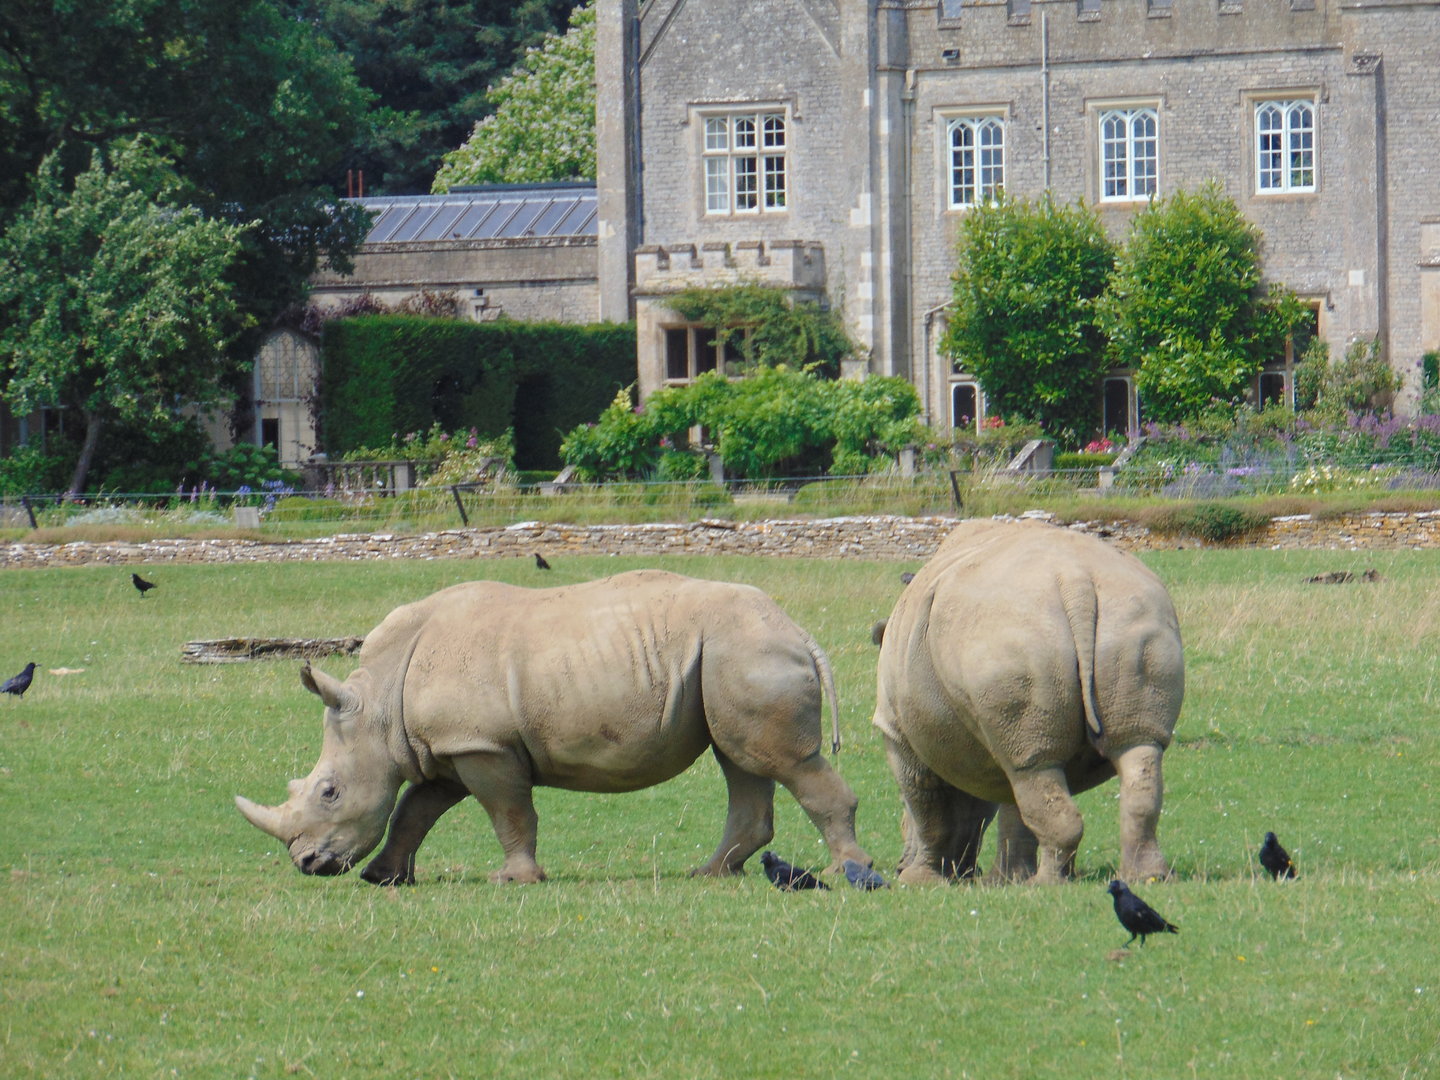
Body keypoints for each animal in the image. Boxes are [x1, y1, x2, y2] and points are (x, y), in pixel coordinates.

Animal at [236, 570, 870, 885]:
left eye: (329, 792)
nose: (306, 864)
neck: (379, 706)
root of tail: (796, 628)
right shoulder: (446, 748)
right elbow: (413, 810)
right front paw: (382, 877)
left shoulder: (482, 747)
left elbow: (508, 813)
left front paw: (514, 880)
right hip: (731, 653)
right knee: (740, 759)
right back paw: (710, 873)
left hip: (747, 651)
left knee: (778, 761)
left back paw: (844, 871)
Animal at [873, 519, 1184, 885]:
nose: (897, 866)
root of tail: (1076, 581)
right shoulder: (990, 742)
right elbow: (1010, 810)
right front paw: (1005, 880)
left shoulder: (894, 728)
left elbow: (925, 802)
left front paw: (919, 880)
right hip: (1131, 620)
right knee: (1133, 749)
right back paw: (1147, 878)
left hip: (1010, 636)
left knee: (1033, 767)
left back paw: (1047, 884)